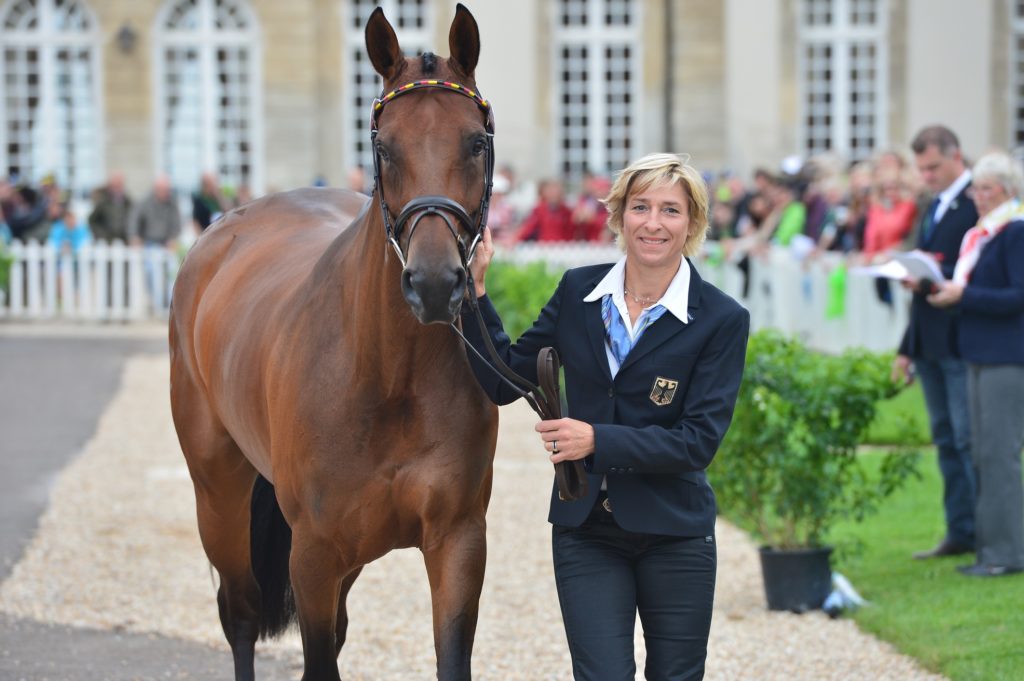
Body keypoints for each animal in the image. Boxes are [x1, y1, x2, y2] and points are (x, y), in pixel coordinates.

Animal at [169, 3, 497, 675]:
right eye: (384, 146)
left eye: (475, 142)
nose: (433, 284)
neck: (391, 377)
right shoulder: (314, 554)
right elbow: (317, 658)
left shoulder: (458, 539)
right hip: (218, 491)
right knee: (240, 613)